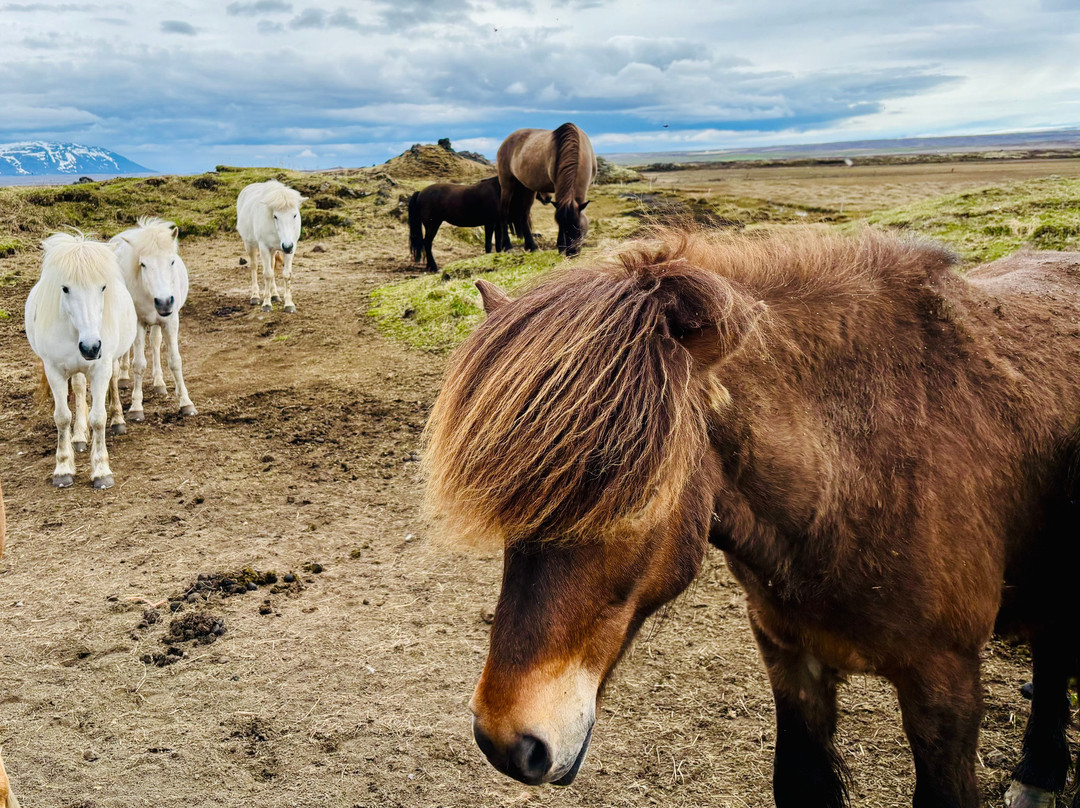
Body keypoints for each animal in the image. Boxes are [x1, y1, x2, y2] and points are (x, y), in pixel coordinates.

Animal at [25, 233, 137, 488]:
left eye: (103, 287)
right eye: (65, 288)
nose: (91, 347)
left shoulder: (101, 368)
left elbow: (99, 419)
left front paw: (102, 472)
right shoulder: (54, 371)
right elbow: (62, 417)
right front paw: (63, 468)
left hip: (110, 363)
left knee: (113, 382)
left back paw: (118, 420)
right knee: (77, 387)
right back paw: (78, 437)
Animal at [111, 217, 196, 420]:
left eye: (172, 261)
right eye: (143, 264)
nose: (164, 302)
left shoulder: (171, 321)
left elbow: (175, 360)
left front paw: (186, 403)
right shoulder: (138, 323)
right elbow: (139, 364)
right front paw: (136, 407)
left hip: (158, 322)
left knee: (155, 342)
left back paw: (159, 383)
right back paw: (123, 378)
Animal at [236, 179, 306, 312]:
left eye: (294, 215)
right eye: (275, 216)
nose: (287, 246)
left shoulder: (291, 248)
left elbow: (286, 274)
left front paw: (289, 304)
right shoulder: (264, 248)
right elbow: (267, 274)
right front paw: (266, 304)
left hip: (273, 250)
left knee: (272, 266)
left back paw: (275, 295)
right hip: (249, 245)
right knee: (254, 266)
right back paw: (255, 296)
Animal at [496, 122, 597, 256]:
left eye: (579, 228)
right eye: (563, 227)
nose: (571, 253)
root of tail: (505, 142)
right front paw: (561, 247)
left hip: (527, 189)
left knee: (524, 215)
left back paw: (531, 246)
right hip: (507, 184)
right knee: (503, 212)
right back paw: (507, 246)